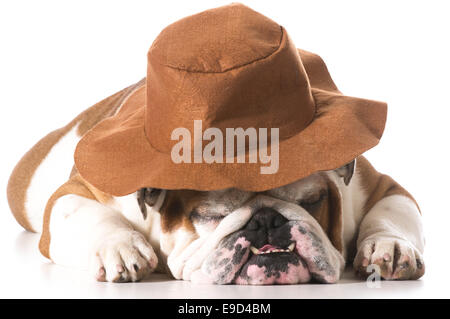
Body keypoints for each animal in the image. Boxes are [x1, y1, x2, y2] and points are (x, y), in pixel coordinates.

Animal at [7, 80, 426, 284]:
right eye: (209, 215)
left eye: (312, 201)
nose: (267, 221)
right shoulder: (84, 190)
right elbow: (81, 211)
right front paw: (121, 247)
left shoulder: (378, 187)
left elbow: (392, 212)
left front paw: (389, 247)